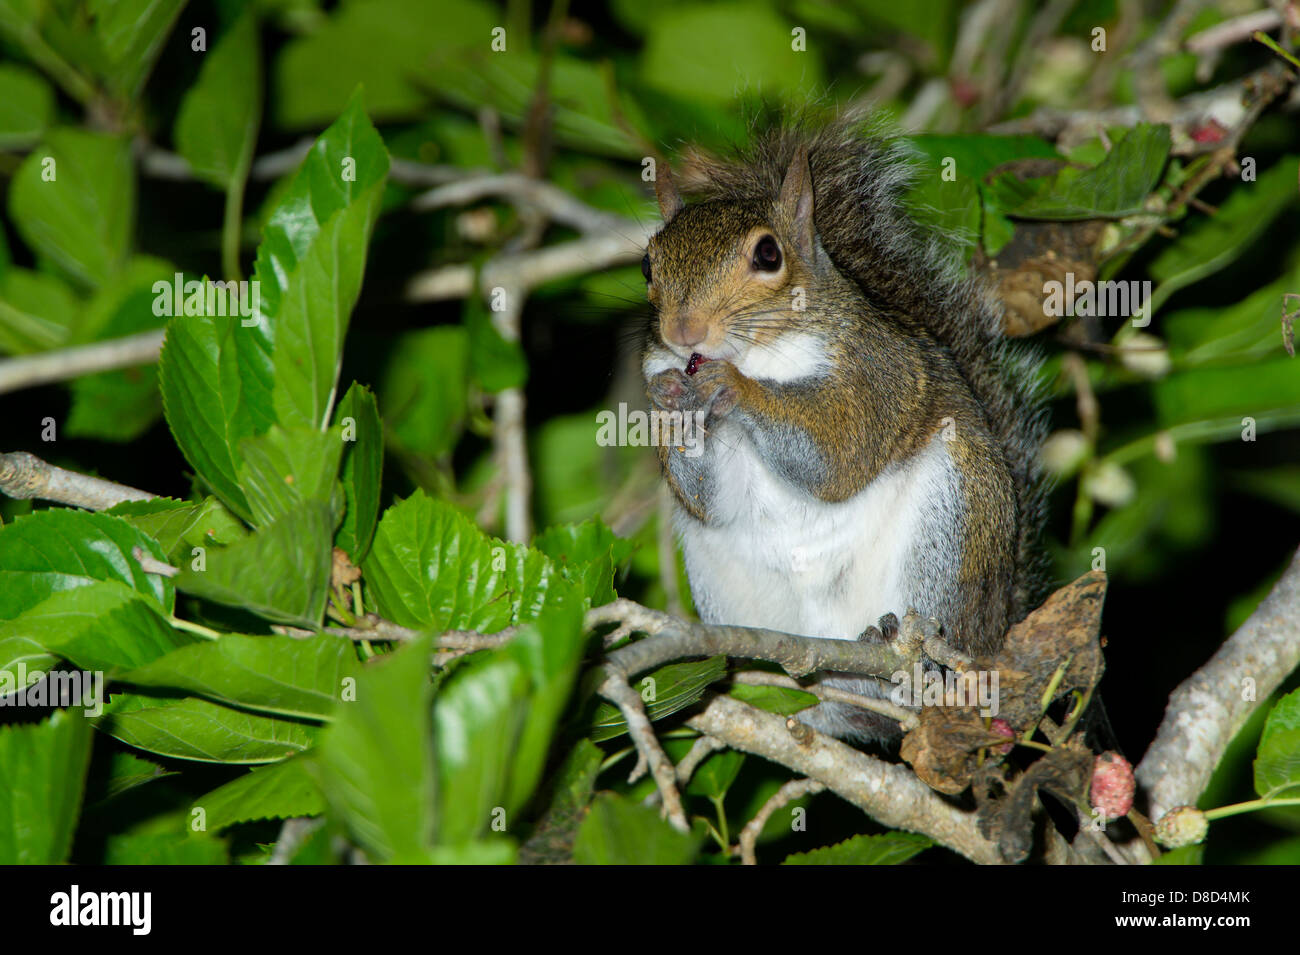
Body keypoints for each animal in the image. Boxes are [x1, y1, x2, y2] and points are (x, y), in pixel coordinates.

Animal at [640, 116, 1048, 742]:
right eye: (647, 265)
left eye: (768, 253)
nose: (684, 332)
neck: (763, 351)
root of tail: (998, 626)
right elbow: (712, 501)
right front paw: (668, 403)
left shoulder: (874, 375)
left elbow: (839, 454)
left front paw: (735, 385)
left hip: (956, 525)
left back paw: (902, 652)